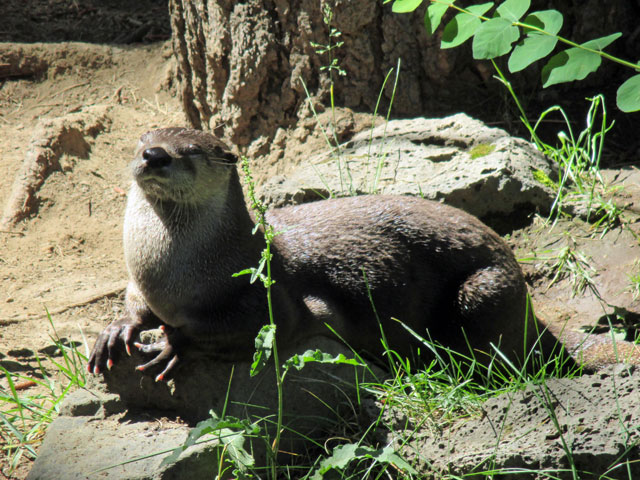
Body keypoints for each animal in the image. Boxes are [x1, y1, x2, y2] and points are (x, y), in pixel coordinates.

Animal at [88, 127, 566, 381]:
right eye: (143, 140)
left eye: (189, 152)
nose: (154, 155)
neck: (173, 277)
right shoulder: (142, 284)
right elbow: (135, 305)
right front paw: (119, 327)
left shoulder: (268, 297)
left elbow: (253, 326)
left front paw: (173, 344)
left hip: (485, 291)